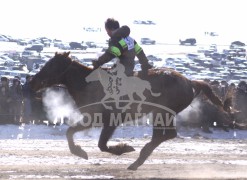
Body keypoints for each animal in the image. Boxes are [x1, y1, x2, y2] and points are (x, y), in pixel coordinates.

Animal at [29, 52, 233, 170]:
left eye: (51, 65)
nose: (32, 82)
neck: (89, 84)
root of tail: (190, 82)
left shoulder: (109, 120)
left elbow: (102, 144)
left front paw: (124, 148)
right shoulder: (92, 118)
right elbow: (70, 132)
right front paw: (80, 152)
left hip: (163, 113)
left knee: (166, 135)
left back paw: (138, 158)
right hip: (161, 114)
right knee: (163, 136)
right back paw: (138, 161)